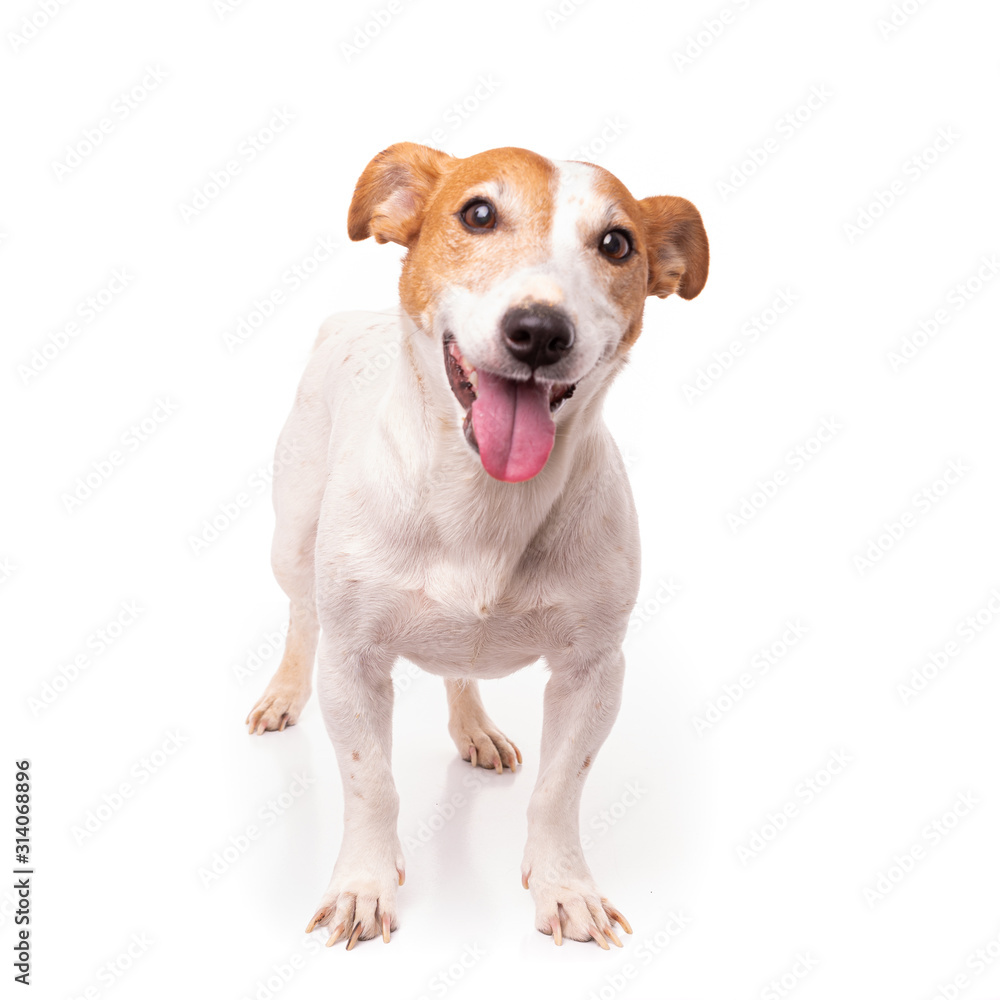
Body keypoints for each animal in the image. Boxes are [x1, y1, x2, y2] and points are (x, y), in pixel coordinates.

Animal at [245, 139, 708, 944]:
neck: (485, 505)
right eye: (478, 213)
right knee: (302, 614)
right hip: (291, 540)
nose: (540, 330)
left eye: (617, 244)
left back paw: (475, 729)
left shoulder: (594, 671)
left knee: (459, 672)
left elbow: (559, 791)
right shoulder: (353, 662)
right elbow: (372, 784)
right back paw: (282, 693)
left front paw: (566, 890)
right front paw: (364, 887)